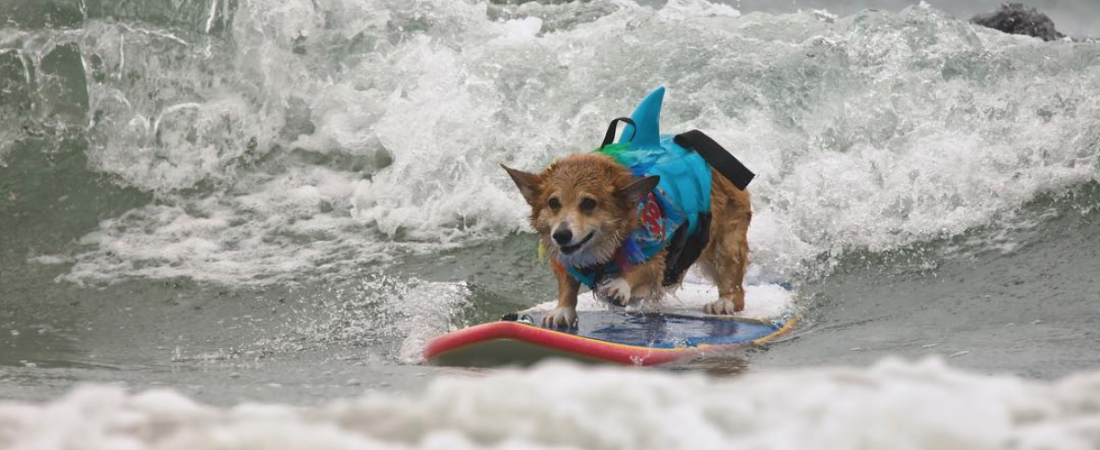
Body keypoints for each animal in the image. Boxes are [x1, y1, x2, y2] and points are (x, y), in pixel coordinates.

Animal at [501, 87, 752, 325]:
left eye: (589, 203)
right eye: (553, 203)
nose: (561, 235)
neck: (603, 252)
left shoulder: (656, 257)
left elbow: (641, 270)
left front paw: (619, 285)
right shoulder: (564, 261)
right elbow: (567, 285)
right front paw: (562, 310)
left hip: (723, 245)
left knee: (734, 284)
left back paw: (724, 303)